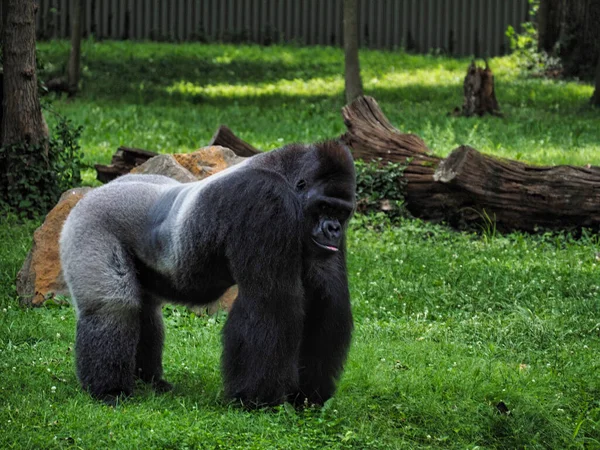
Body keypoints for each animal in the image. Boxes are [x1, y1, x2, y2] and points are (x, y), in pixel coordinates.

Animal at [59, 141, 356, 408]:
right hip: (89, 223)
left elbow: (327, 301)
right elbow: (269, 303)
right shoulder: (265, 199)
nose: (333, 229)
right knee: (113, 307)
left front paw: (308, 395)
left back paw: (149, 380)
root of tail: (91, 193)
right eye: (324, 207)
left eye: (341, 212)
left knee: (145, 310)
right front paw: (255, 399)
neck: (286, 174)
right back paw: (109, 390)